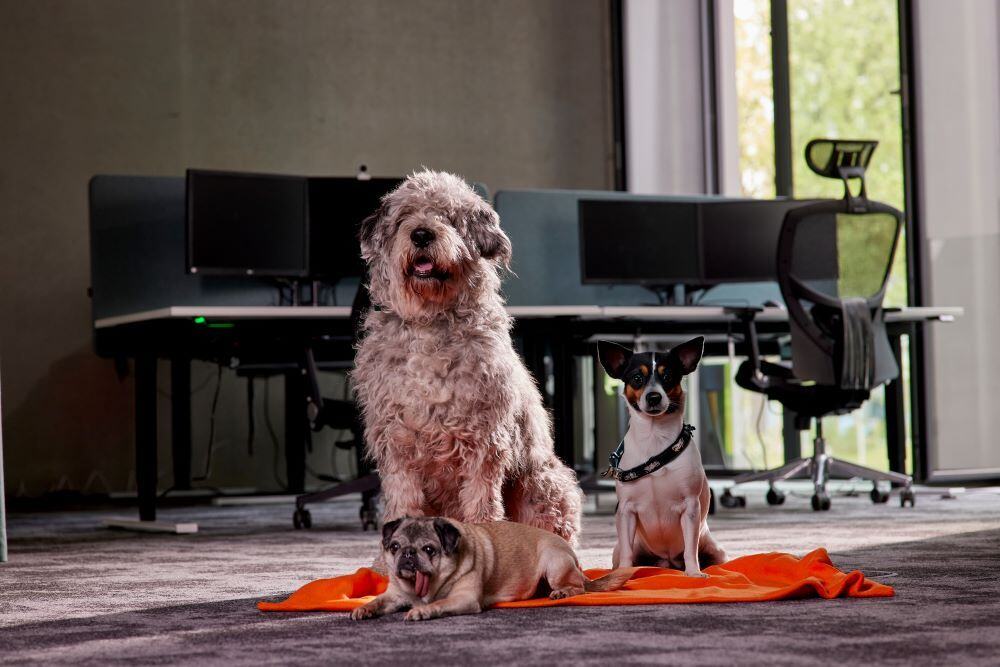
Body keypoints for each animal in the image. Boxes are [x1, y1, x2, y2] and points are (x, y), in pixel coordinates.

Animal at [354, 170, 584, 544]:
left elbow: (482, 502)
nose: (421, 234)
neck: (431, 321)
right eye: (404, 217)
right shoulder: (397, 441)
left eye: (448, 217)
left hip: (542, 485)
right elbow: (403, 500)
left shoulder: (485, 439)